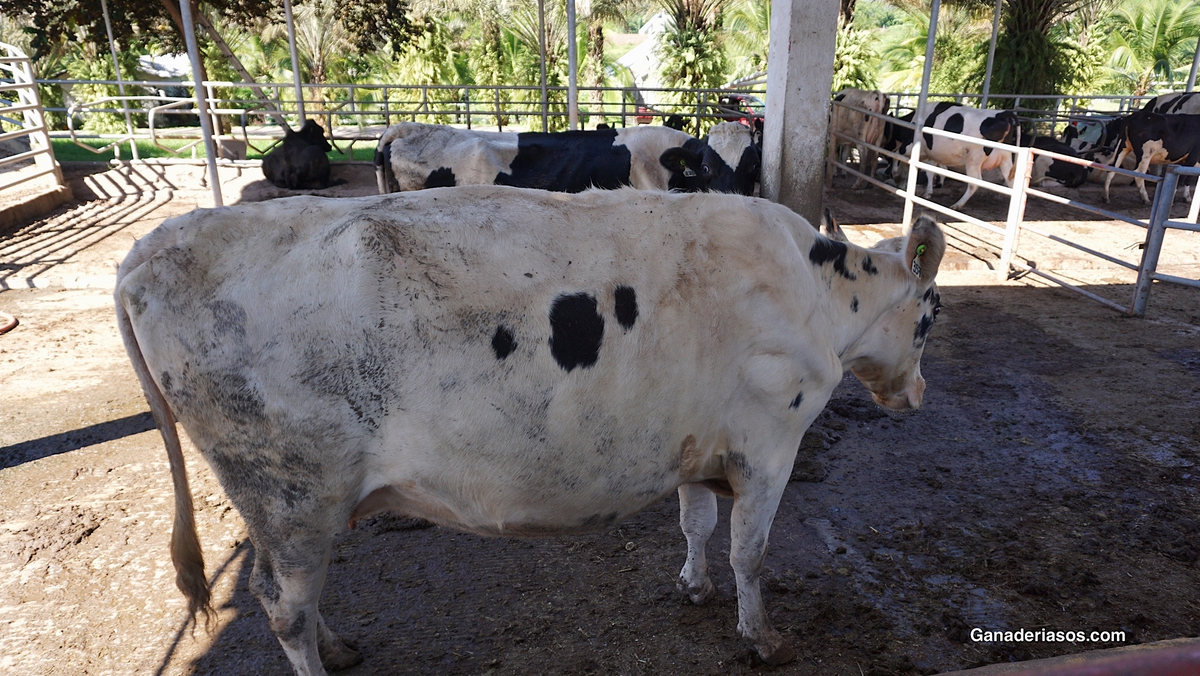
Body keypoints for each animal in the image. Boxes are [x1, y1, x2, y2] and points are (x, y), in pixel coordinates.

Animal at [116, 186, 946, 676]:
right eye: (931, 317)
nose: (918, 394)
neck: (816, 290)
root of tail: (153, 249)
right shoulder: (770, 443)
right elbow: (751, 550)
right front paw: (763, 636)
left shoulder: (698, 444)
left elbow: (696, 523)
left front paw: (692, 584)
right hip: (287, 486)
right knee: (283, 603)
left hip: (294, 503)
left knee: (293, 588)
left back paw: (342, 646)